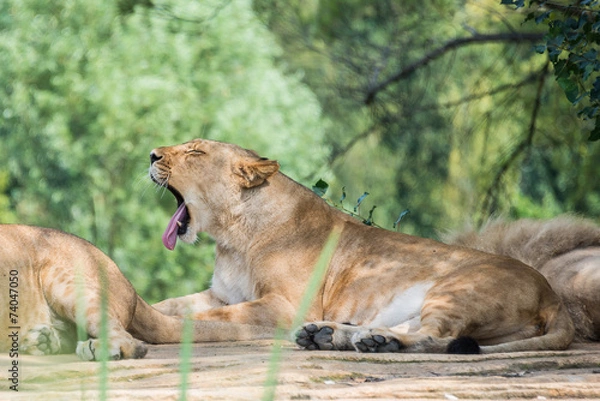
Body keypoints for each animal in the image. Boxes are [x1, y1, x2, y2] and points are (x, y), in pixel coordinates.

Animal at [149, 138, 572, 354]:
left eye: (195, 152)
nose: (151, 154)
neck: (233, 237)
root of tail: (552, 295)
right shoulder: (222, 293)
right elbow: (172, 304)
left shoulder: (286, 305)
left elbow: (212, 317)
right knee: (412, 326)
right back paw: (335, 335)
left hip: (457, 289)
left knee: (437, 337)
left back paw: (373, 341)